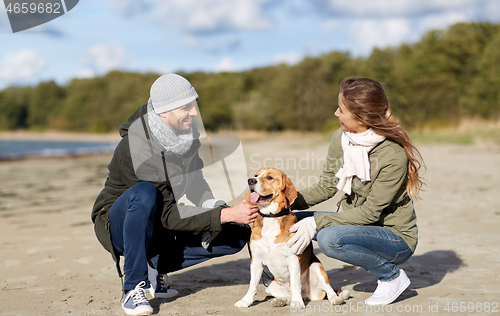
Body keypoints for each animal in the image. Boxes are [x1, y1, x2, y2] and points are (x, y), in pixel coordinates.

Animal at [233, 168, 344, 308]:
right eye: (256, 175)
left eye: (269, 177)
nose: (250, 180)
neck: (271, 217)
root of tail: (306, 294)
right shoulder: (256, 260)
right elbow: (252, 284)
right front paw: (246, 301)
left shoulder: (293, 259)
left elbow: (296, 284)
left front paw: (297, 302)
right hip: (270, 285)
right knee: (288, 295)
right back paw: (280, 301)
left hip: (317, 267)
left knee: (328, 290)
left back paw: (334, 299)